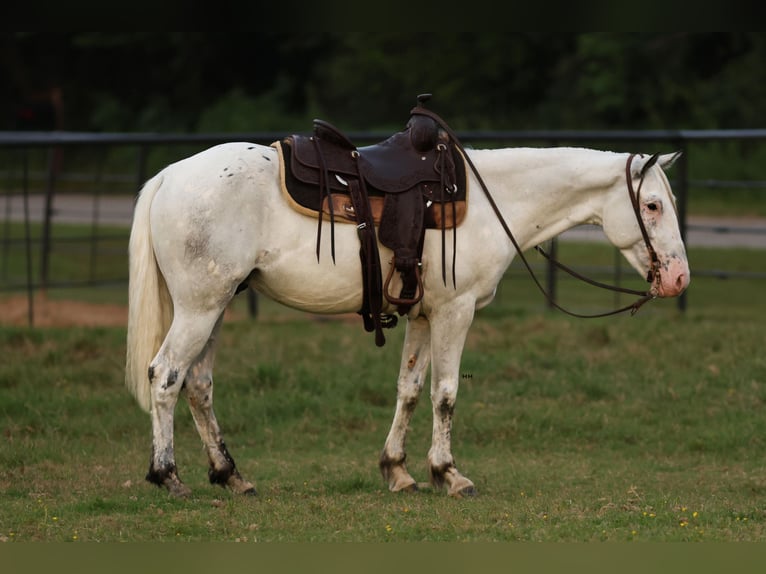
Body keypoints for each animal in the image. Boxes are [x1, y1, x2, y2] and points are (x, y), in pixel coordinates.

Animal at [124, 142, 688, 498]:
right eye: (652, 205)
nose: (679, 278)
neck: (492, 203)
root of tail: (171, 176)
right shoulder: (456, 311)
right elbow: (445, 393)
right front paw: (449, 474)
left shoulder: (422, 315)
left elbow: (410, 389)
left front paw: (396, 471)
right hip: (200, 308)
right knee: (166, 376)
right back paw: (168, 476)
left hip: (216, 307)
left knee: (198, 385)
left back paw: (230, 475)